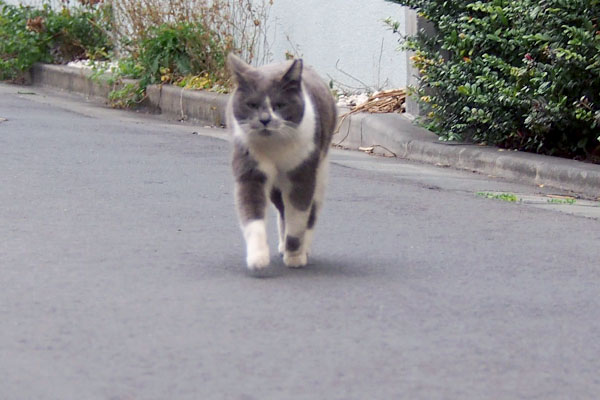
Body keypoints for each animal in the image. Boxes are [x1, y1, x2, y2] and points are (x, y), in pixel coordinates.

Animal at [226, 53, 338, 270]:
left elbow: (298, 220)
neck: (274, 148)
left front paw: (294, 257)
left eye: (279, 105)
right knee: (281, 210)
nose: (265, 119)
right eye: (252, 105)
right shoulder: (250, 171)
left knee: (310, 214)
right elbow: (252, 216)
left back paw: (302, 249)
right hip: (275, 188)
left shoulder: (302, 176)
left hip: (320, 172)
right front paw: (258, 258)